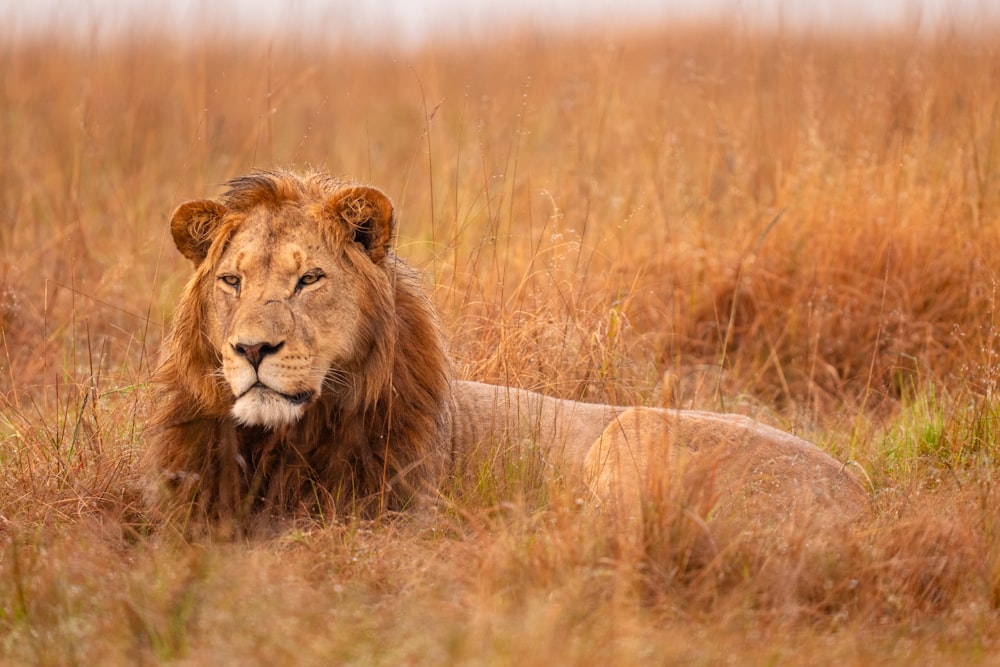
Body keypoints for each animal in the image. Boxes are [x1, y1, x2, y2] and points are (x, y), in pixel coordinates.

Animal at [145, 170, 872, 536]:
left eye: (309, 279)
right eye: (231, 281)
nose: (252, 348)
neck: (285, 437)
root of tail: (858, 491)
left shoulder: (397, 518)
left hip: (631, 434)